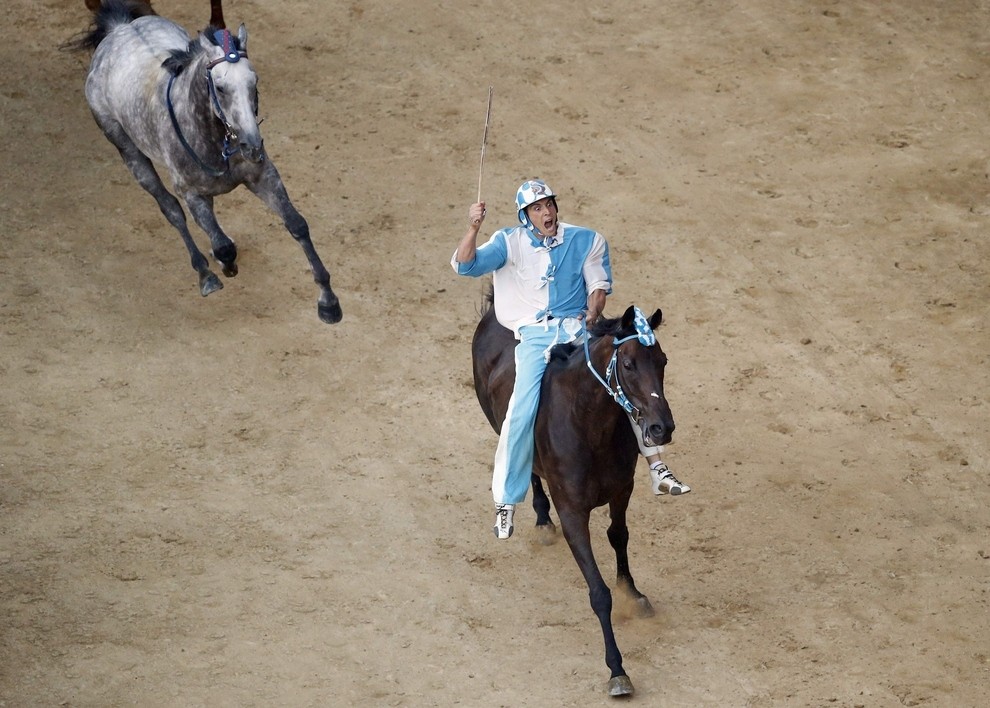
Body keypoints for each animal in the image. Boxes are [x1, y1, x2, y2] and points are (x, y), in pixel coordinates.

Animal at [69, 0, 342, 324]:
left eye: (255, 81)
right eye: (221, 87)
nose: (252, 145)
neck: (213, 137)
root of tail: (119, 28)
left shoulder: (263, 175)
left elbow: (296, 224)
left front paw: (328, 302)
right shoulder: (191, 193)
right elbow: (222, 245)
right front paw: (223, 266)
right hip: (127, 149)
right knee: (171, 210)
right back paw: (204, 272)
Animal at [472, 292, 676, 697]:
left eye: (661, 361)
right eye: (628, 364)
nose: (663, 427)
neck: (591, 425)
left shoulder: (621, 489)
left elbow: (618, 536)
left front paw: (633, 595)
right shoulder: (572, 514)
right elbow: (598, 593)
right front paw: (617, 670)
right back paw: (534, 518)